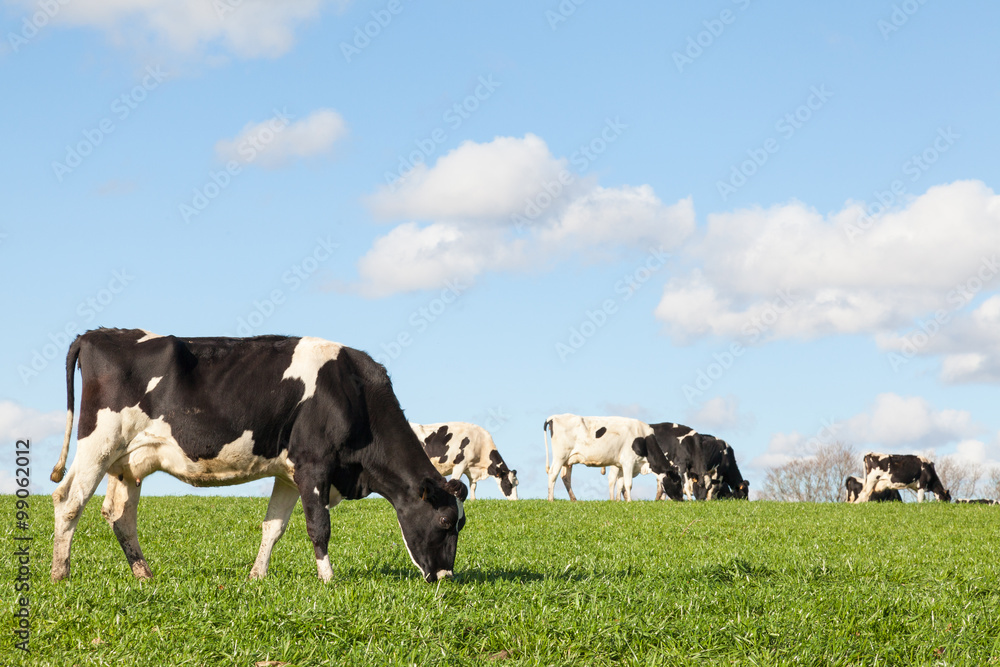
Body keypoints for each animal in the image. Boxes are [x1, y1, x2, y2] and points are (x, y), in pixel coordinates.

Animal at [50, 328, 468, 584]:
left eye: (460, 524)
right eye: (446, 521)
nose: (445, 578)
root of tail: (96, 335)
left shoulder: (289, 473)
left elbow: (274, 527)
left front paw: (257, 576)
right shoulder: (314, 464)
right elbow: (319, 526)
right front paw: (328, 579)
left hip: (128, 462)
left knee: (120, 515)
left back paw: (144, 575)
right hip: (99, 442)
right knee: (69, 501)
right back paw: (60, 573)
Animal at [543, 414, 682, 502]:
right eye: (676, 481)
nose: (681, 499)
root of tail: (554, 417)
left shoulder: (620, 465)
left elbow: (620, 484)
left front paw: (618, 501)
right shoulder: (628, 462)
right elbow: (628, 484)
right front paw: (629, 501)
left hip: (568, 460)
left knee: (565, 477)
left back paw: (573, 499)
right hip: (560, 456)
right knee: (553, 474)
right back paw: (550, 499)